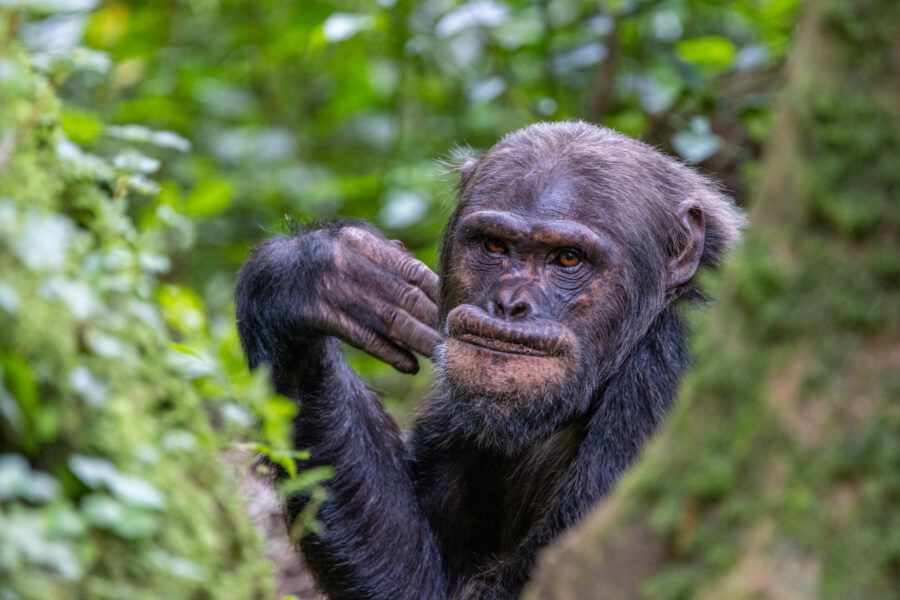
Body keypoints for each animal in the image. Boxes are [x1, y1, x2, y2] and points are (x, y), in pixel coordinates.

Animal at [234, 119, 744, 596]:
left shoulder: (675, 366)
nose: (510, 303)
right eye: (495, 246)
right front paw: (317, 274)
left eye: (568, 258)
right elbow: (415, 574)